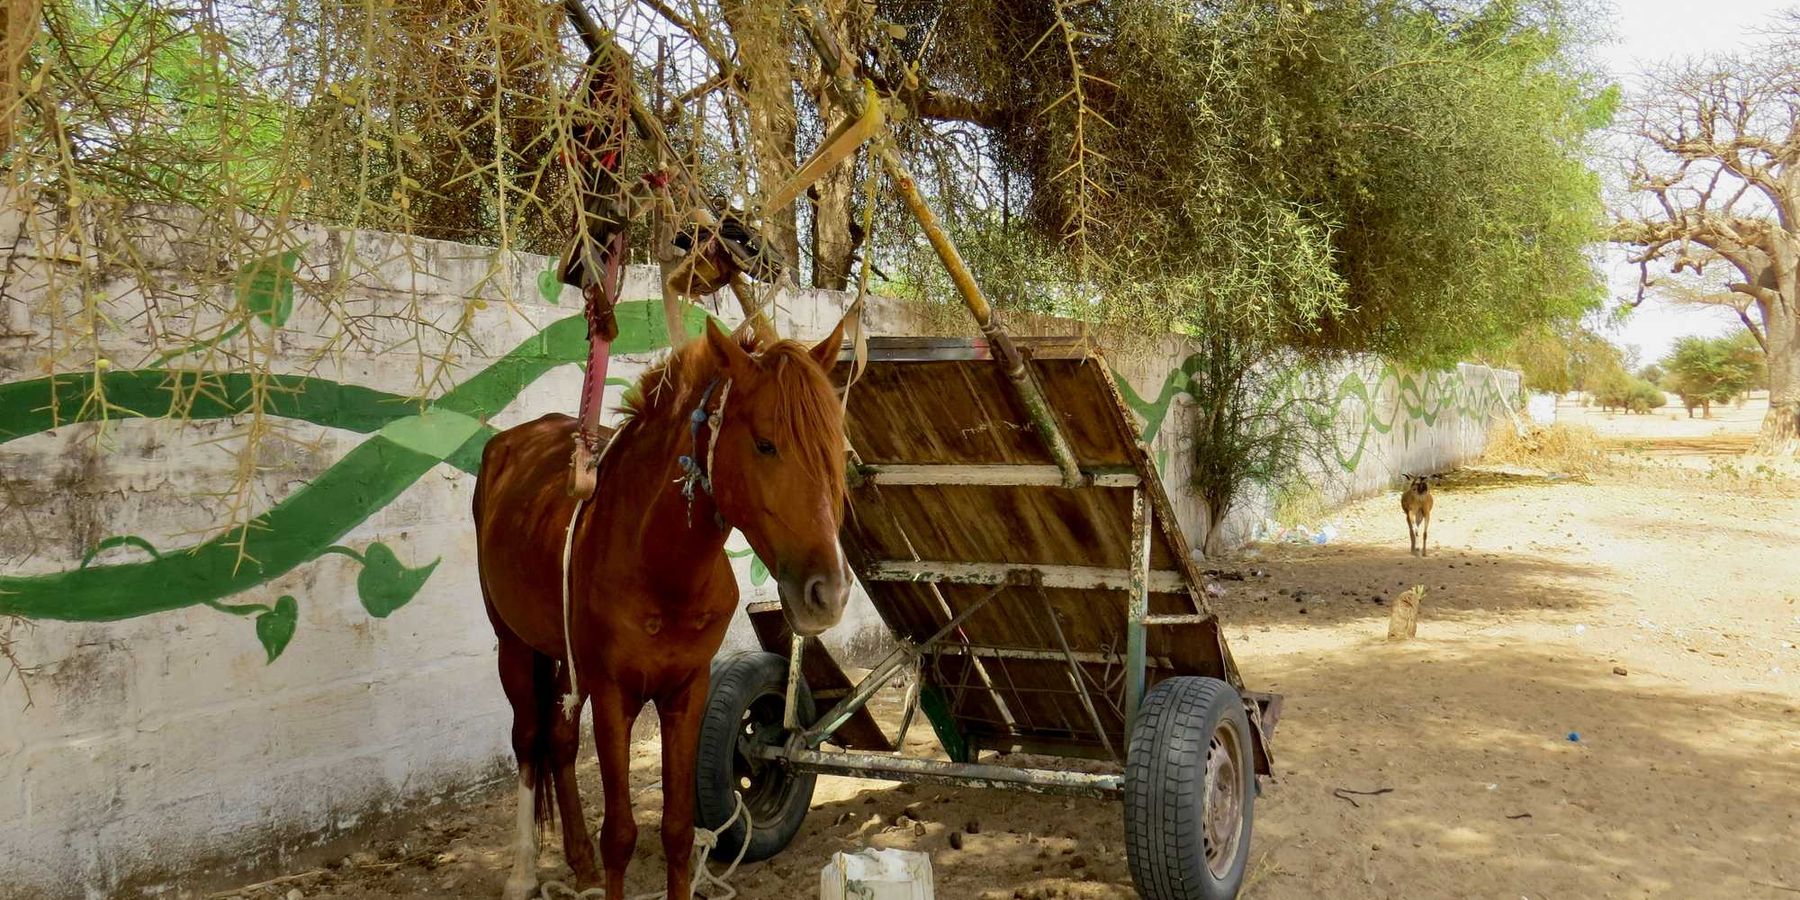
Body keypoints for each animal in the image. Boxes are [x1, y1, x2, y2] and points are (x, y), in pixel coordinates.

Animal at [472, 316, 851, 899]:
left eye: (840, 448)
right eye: (765, 444)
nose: (827, 594)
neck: (658, 562)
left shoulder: (686, 691)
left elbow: (676, 830)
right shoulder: (613, 697)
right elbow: (620, 835)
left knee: (559, 739)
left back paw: (579, 861)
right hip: (512, 643)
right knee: (530, 738)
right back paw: (522, 872)